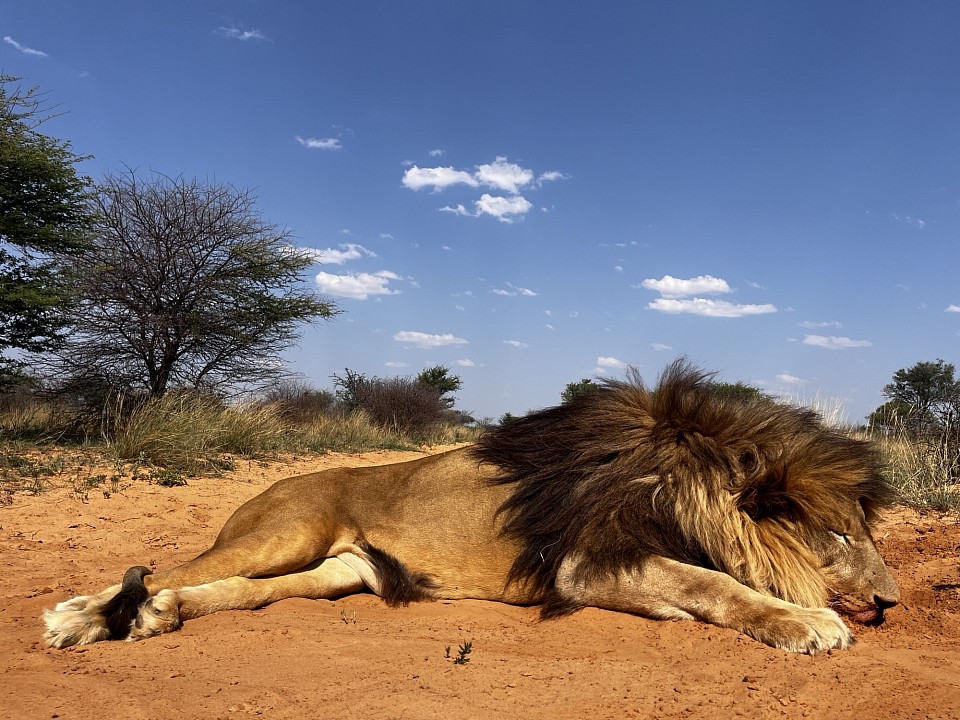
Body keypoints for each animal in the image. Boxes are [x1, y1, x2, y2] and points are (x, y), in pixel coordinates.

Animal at [43, 361, 900, 654]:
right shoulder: (586, 566)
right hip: (288, 528)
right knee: (171, 569)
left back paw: (156, 618)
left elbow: (706, 581)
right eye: (833, 534)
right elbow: (710, 583)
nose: (892, 602)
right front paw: (808, 622)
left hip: (333, 573)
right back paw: (80, 619)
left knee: (226, 591)